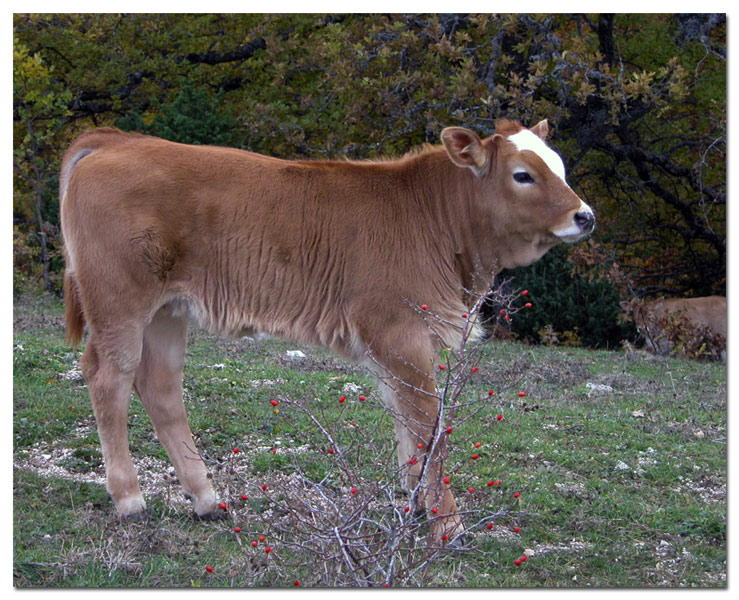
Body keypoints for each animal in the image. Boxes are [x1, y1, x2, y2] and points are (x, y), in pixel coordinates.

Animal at [59, 118, 595, 543]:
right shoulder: (400, 332)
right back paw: (129, 498)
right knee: (109, 377)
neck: (433, 220)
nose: (585, 216)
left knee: (160, 386)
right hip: (120, 300)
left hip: (168, 309)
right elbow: (430, 429)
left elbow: (409, 426)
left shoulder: (400, 344)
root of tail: (116, 141)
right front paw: (449, 524)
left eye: (560, 167)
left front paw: (417, 508)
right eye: (523, 174)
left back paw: (207, 499)